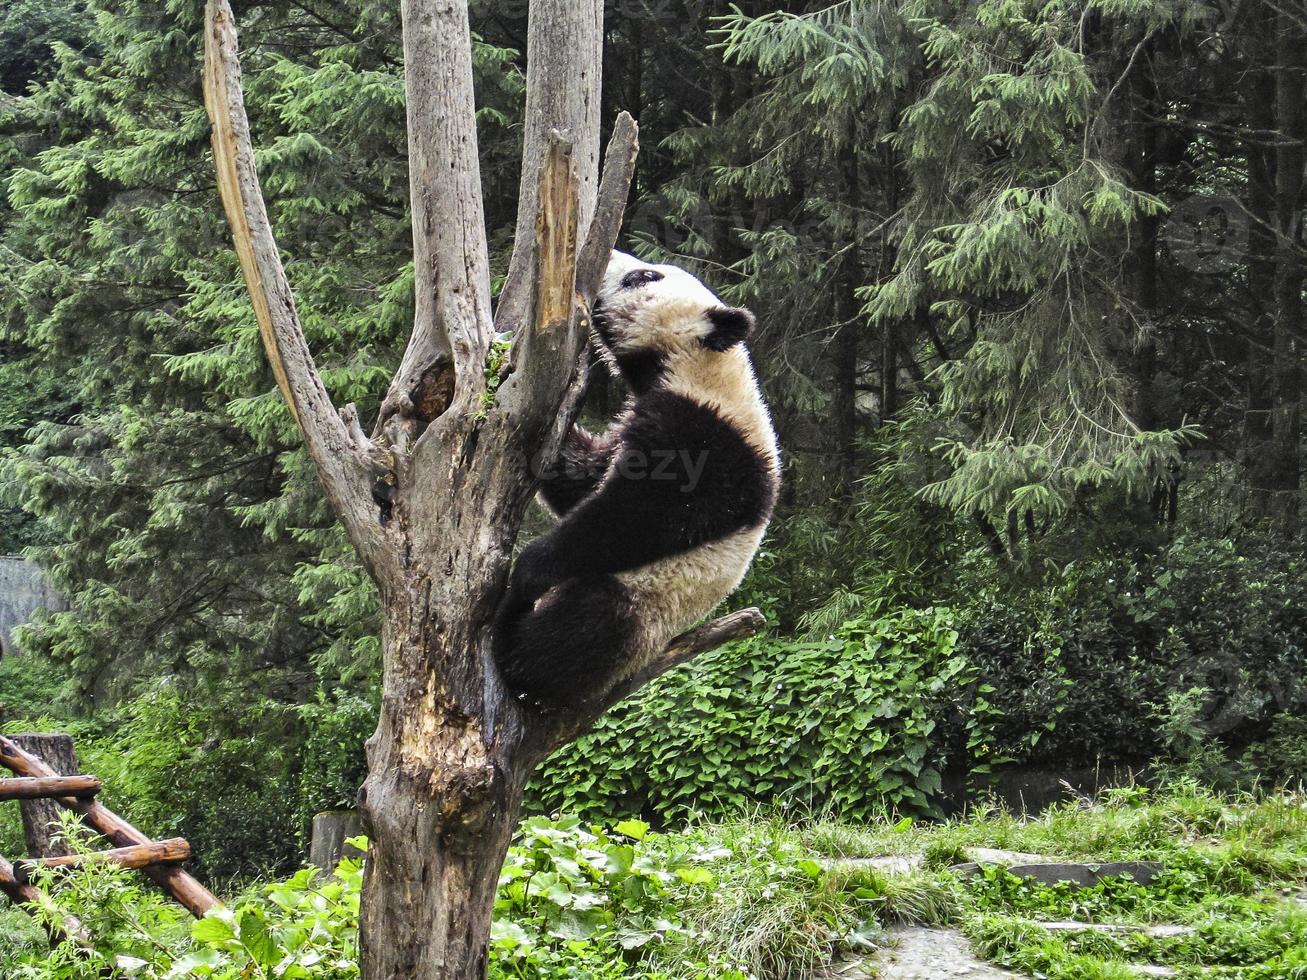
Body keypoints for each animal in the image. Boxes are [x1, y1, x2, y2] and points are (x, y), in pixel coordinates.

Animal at [491, 249, 773, 710]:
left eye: (643, 276)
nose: (608, 258)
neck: (697, 366)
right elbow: (584, 478)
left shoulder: (708, 438)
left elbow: (639, 518)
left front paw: (532, 565)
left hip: (646, 604)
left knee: (580, 632)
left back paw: (517, 650)